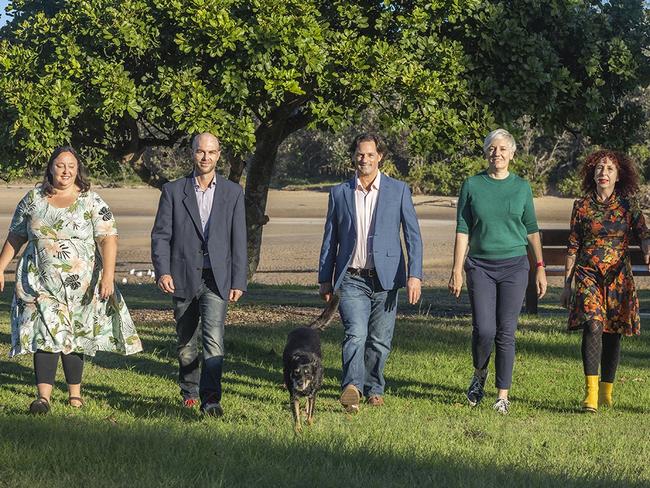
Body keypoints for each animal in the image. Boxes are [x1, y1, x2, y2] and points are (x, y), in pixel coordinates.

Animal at [282, 294, 340, 430]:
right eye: (296, 372)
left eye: (308, 373)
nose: (299, 383)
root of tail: (307, 328)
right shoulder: (294, 395)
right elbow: (296, 414)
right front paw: (298, 429)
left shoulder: (313, 394)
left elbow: (311, 411)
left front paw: (309, 423)